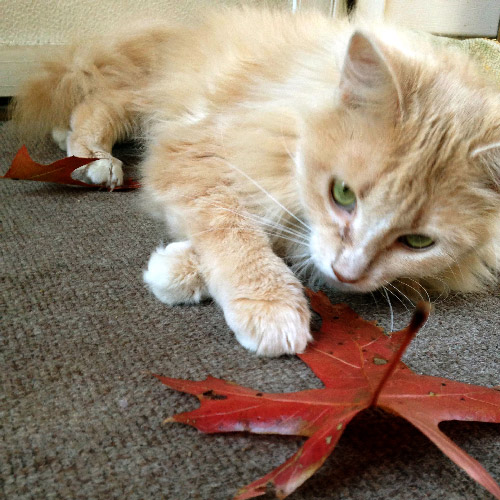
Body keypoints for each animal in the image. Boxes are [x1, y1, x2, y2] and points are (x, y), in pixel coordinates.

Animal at [11, 7, 500, 356]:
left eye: (418, 243)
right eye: (342, 194)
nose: (347, 273)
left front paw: (177, 269)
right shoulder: (196, 150)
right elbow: (235, 231)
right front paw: (270, 305)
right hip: (149, 100)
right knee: (97, 102)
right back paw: (93, 159)